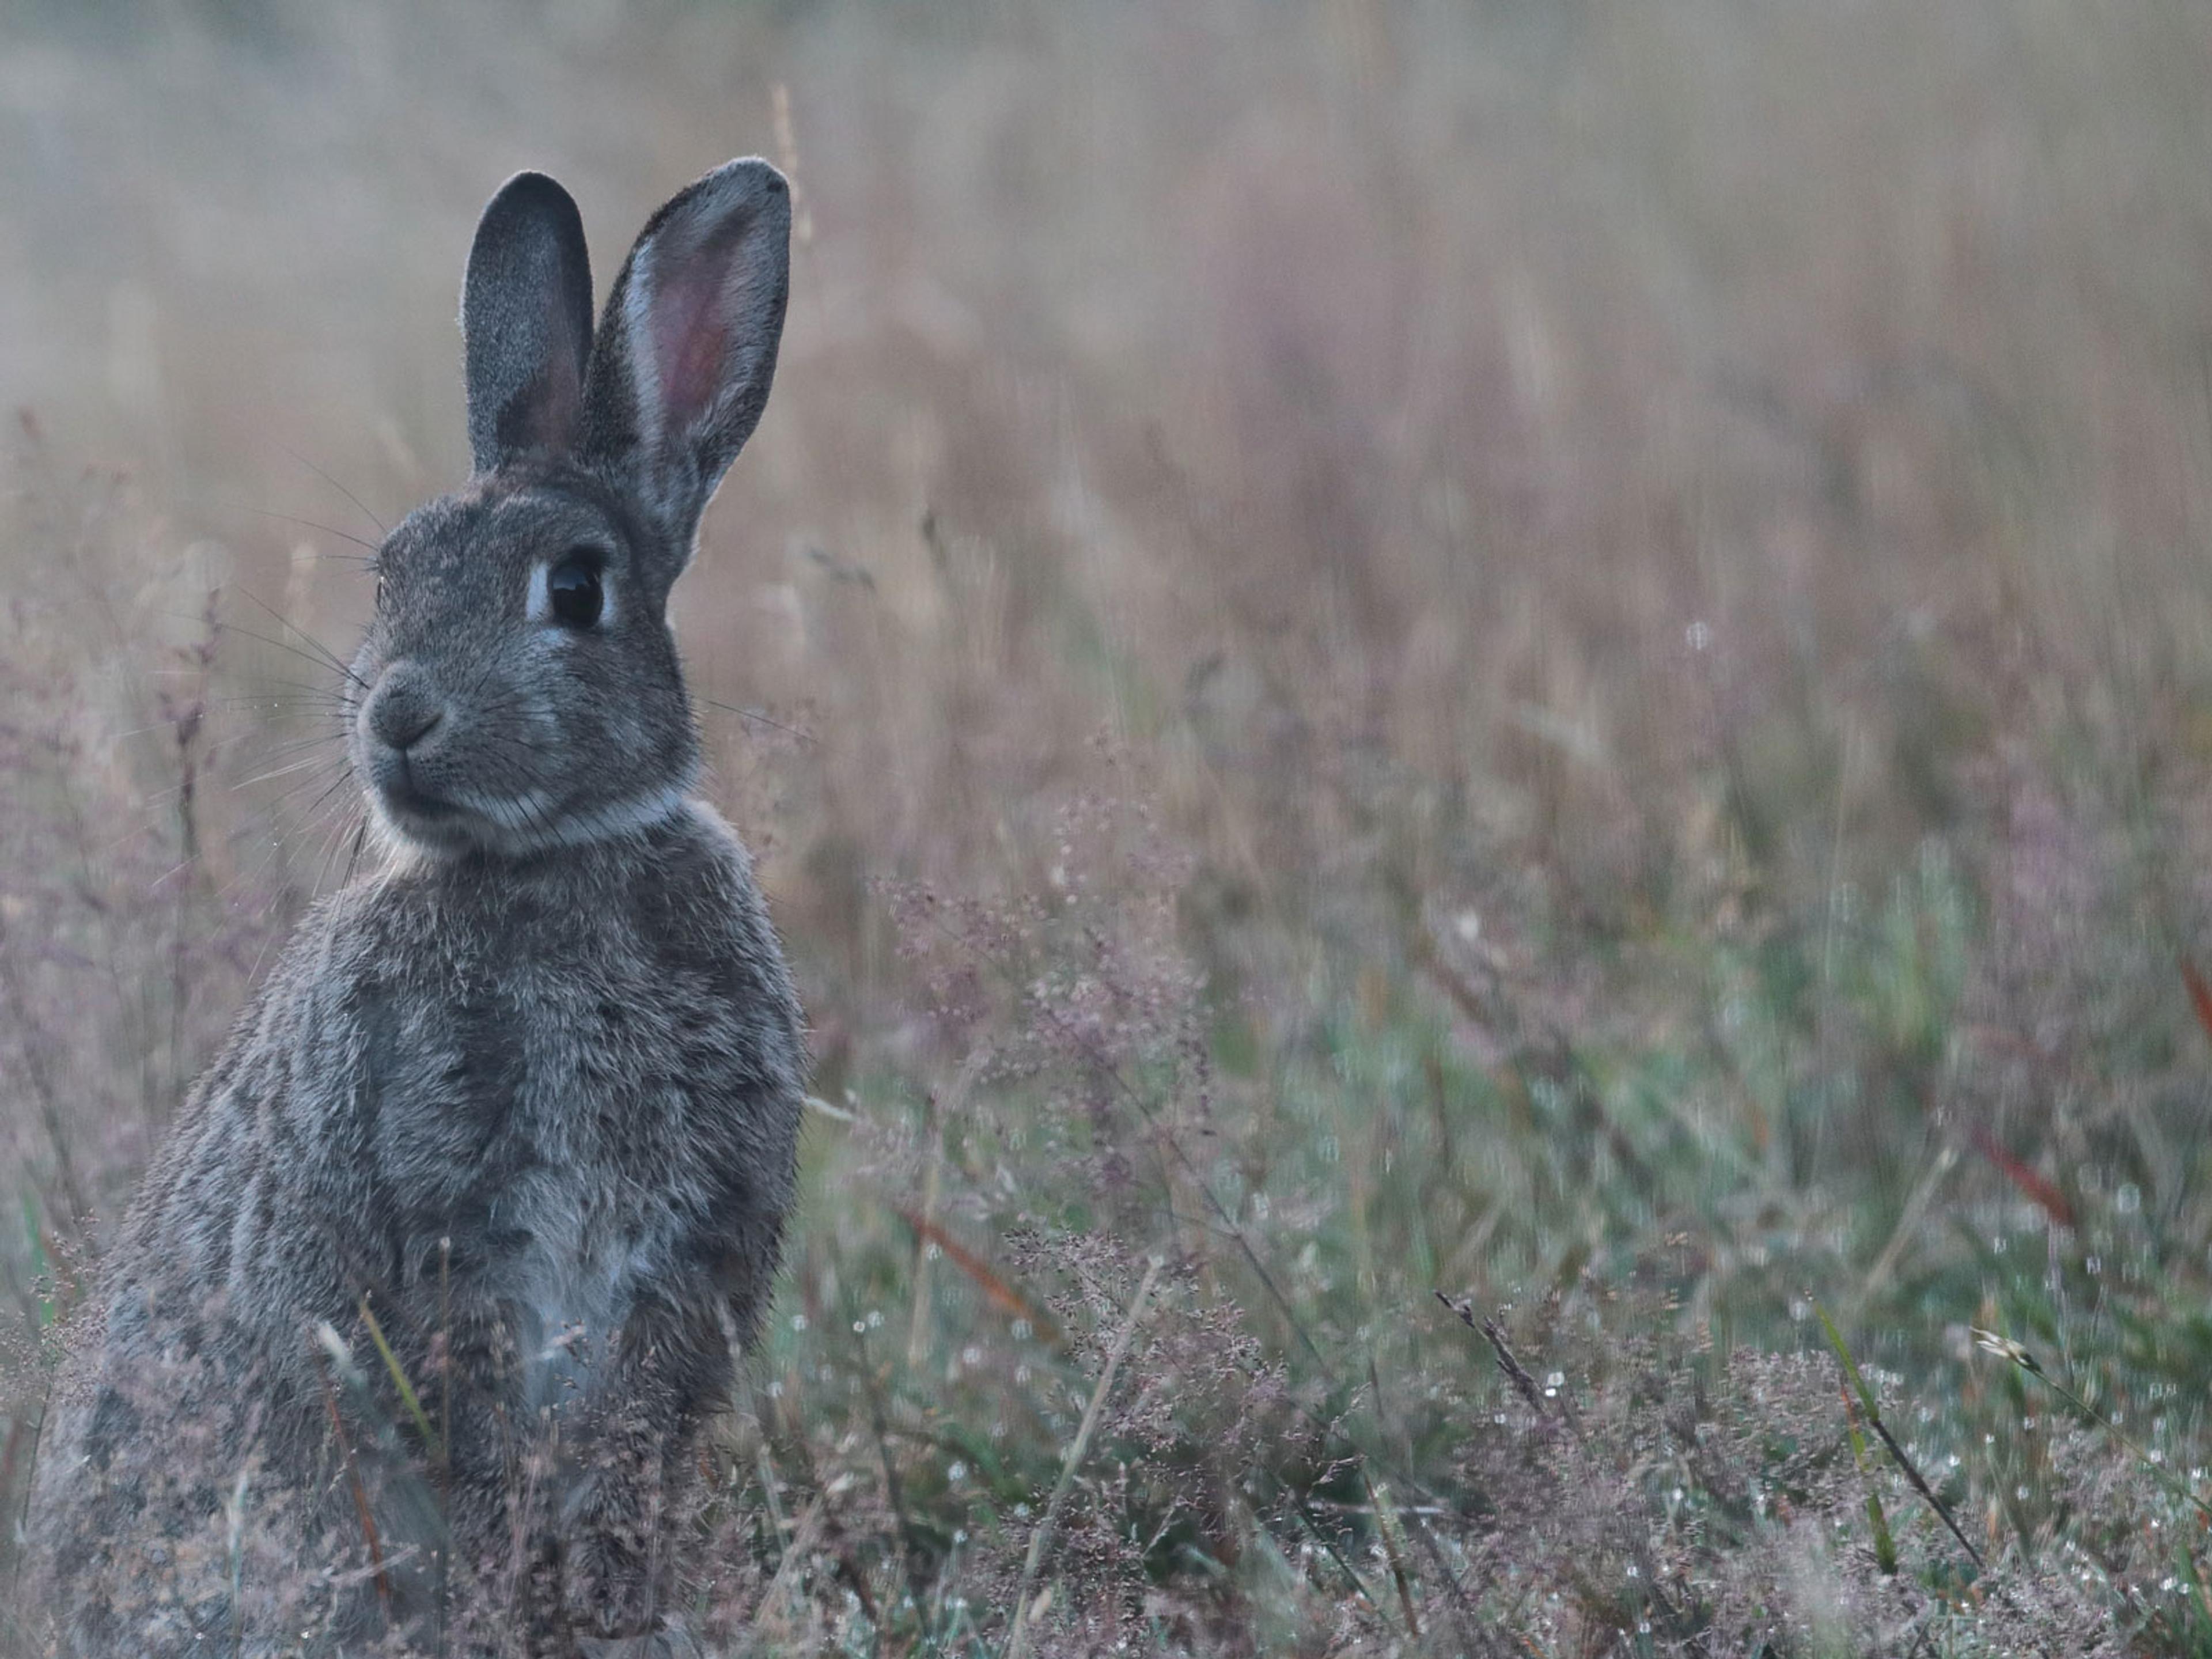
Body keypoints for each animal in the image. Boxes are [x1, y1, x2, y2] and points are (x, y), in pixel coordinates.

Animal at [17, 158, 806, 1658]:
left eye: (576, 587)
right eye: (389, 570)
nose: (395, 718)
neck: (553, 858)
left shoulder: (675, 1269)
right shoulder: (444, 1238)